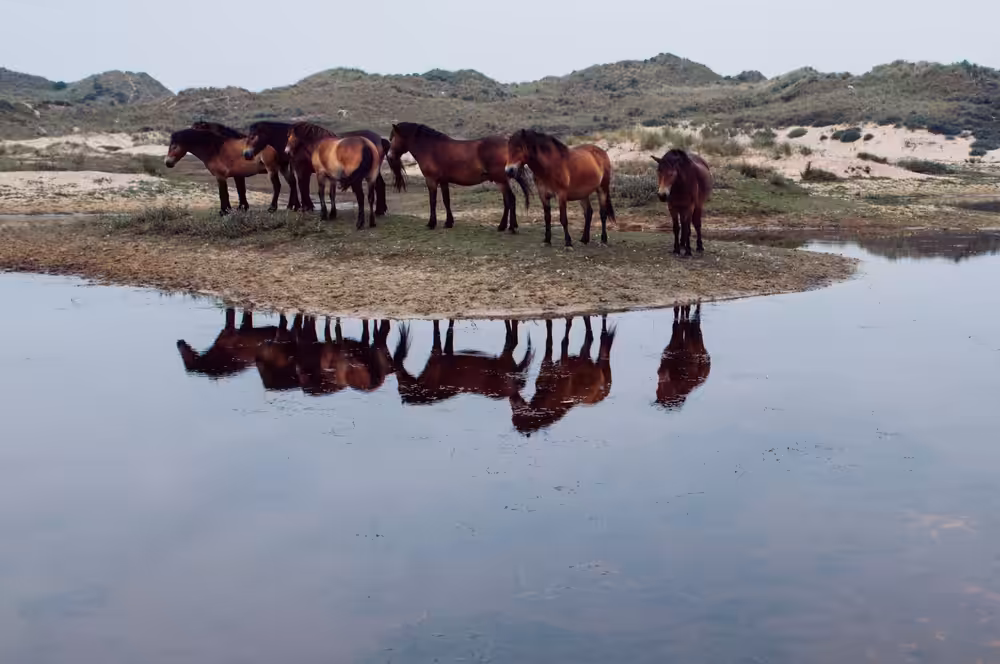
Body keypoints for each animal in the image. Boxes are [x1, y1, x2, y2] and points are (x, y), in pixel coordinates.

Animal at [242, 121, 390, 216]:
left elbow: (302, 186)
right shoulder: (295, 168)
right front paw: (302, 206)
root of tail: (379, 139)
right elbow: (299, 185)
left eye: (253, 136)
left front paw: (305, 207)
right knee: (380, 185)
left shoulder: (301, 169)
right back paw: (380, 210)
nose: (246, 154)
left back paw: (379, 211)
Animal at [385, 122, 531, 231]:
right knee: (508, 201)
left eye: (392, 138)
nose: (390, 156)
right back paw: (504, 226)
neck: (430, 148)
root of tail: (507, 141)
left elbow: (432, 201)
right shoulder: (443, 181)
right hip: (501, 180)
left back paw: (509, 227)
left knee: (510, 200)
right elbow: (446, 200)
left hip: (500, 180)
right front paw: (448, 222)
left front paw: (431, 223)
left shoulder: (431, 180)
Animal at [392, 320, 533, 405]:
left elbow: (437, 329)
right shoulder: (447, 353)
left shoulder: (436, 356)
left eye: (400, 385)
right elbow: (449, 331)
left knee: (512, 337)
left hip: (505, 359)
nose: (399, 369)